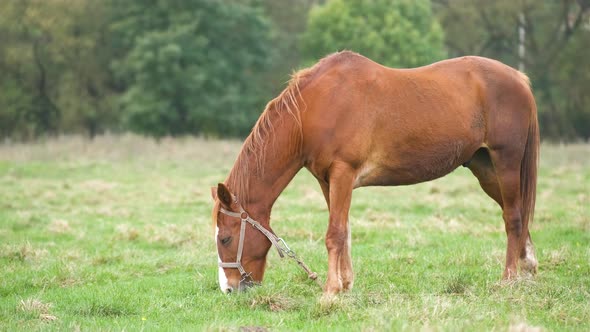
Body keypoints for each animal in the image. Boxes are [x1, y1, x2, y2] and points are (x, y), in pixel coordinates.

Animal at [213, 50, 540, 294]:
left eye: (225, 239)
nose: (228, 289)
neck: (315, 107)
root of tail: (520, 79)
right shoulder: (327, 181)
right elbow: (344, 231)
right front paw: (345, 284)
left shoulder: (343, 173)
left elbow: (334, 233)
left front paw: (330, 291)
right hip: (485, 168)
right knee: (516, 214)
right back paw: (528, 266)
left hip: (505, 162)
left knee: (513, 217)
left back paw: (509, 278)